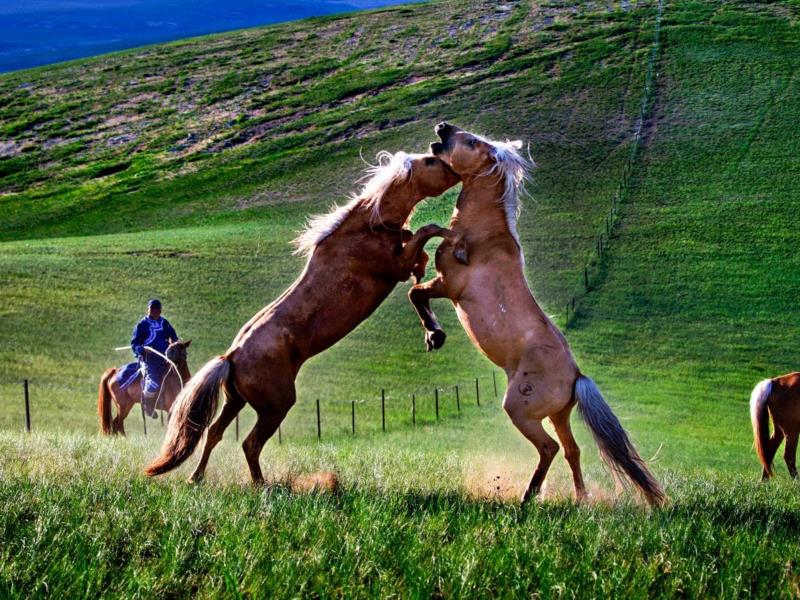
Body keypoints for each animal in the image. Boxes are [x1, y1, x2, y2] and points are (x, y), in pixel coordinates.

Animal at [145, 150, 461, 483]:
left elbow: (418, 245)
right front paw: (449, 238)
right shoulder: (394, 267)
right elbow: (427, 231)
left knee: (214, 433)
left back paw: (197, 477)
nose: (451, 164)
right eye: (430, 161)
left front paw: (432, 325)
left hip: (235, 401)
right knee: (249, 443)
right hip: (275, 407)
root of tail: (230, 357)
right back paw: (262, 485)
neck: (368, 227)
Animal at [408, 123, 666, 506]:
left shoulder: (448, 285)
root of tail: (577, 376)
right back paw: (580, 499)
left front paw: (434, 335)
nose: (442, 127)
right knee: (572, 450)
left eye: (471, 141)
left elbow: (416, 289)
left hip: (520, 410)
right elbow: (418, 280)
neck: (482, 236)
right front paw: (433, 333)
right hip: (559, 415)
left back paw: (529, 497)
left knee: (550, 448)